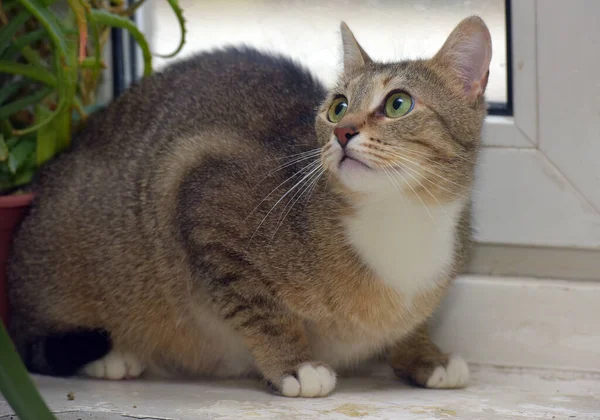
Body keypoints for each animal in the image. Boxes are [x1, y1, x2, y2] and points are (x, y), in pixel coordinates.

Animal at [8, 17, 492, 398]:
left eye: (398, 103)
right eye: (338, 107)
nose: (344, 133)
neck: (399, 217)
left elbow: (413, 323)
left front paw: (426, 356)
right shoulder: (200, 194)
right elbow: (261, 310)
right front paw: (294, 366)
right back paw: (111, 356)